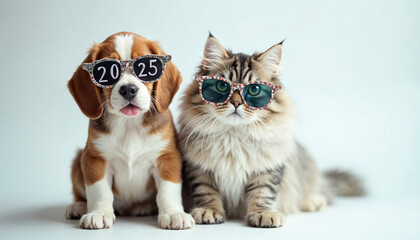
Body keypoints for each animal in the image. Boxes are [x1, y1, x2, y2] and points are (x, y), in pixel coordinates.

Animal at [65, 31, 194, 229]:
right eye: (107, 71)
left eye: (147, 69)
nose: (128, 89)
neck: (129, 125)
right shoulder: (95, 159)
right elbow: (99, 191)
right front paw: (98, 213)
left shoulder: (167, 158)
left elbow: (168, 190)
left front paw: (173, 213)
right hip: (77, 161)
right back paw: (78, 206)